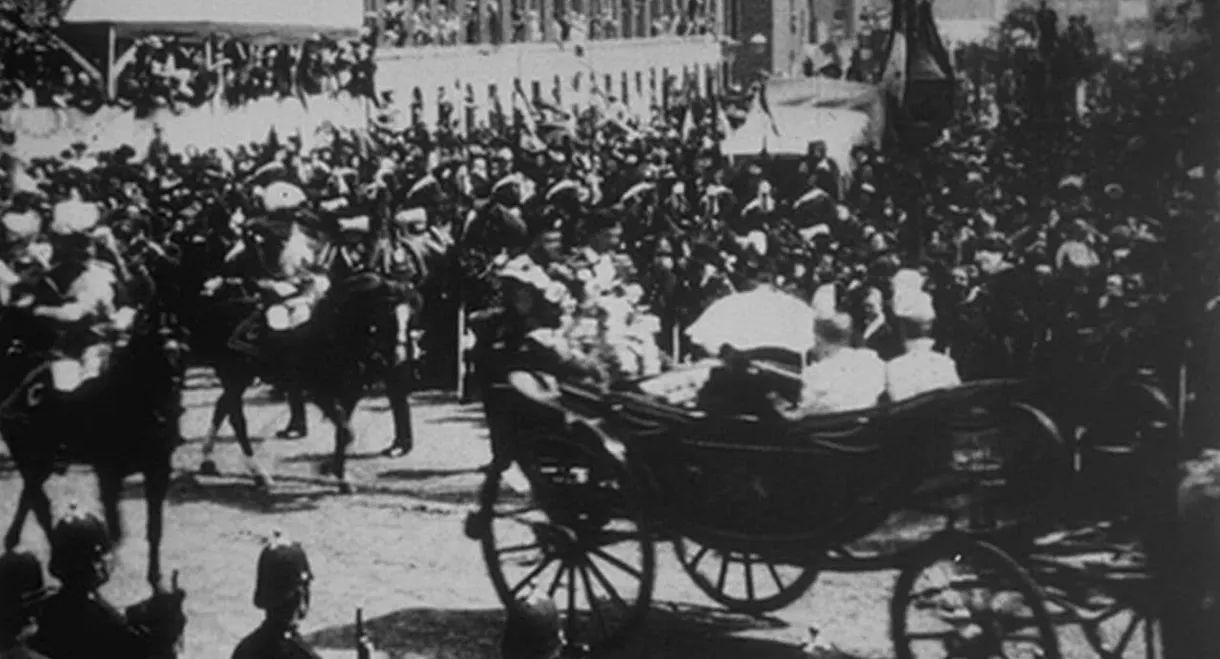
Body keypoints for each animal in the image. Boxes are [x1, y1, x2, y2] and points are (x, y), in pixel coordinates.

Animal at [0, 301, 187, 590]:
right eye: (157, 350)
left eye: (179, 348)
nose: (171, 409)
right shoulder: (108, 473)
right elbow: (115, 528)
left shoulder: (158, 471)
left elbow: (154, 528)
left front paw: (155, 576)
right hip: (35, 460)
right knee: (39, 504)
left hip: (40, 464)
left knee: (31, 498)